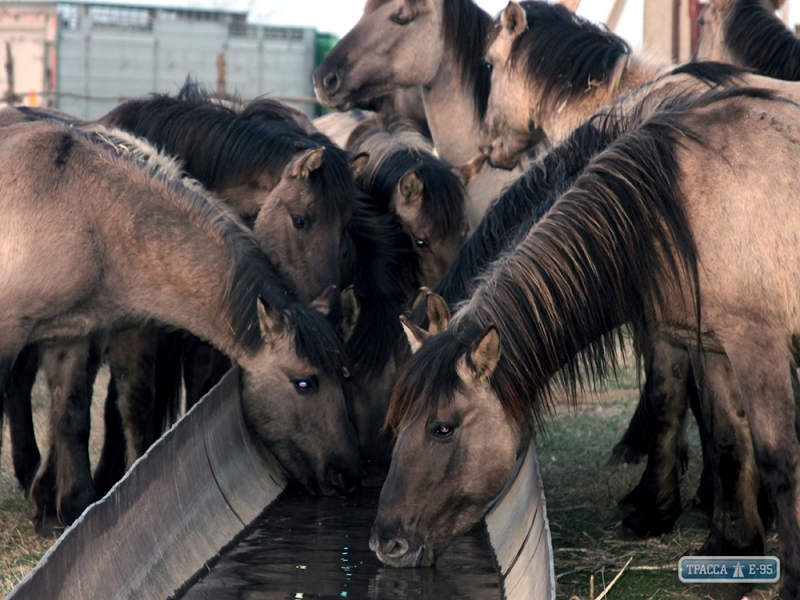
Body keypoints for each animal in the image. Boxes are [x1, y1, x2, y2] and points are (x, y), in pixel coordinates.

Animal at [0, 119, 360, 528]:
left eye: (346, 377)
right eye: (304, 383)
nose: (346, 475)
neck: (82, 210)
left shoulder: (70, 336)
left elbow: (72, 416)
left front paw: (71, 508)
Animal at [376, 85, 800, 600]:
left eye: (443, 429)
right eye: (396, 424)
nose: (386, 543)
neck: (679, 211)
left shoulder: (757, 345)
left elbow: (779, 459)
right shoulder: (710, 346)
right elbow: (723, 439)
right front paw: (731, 549)